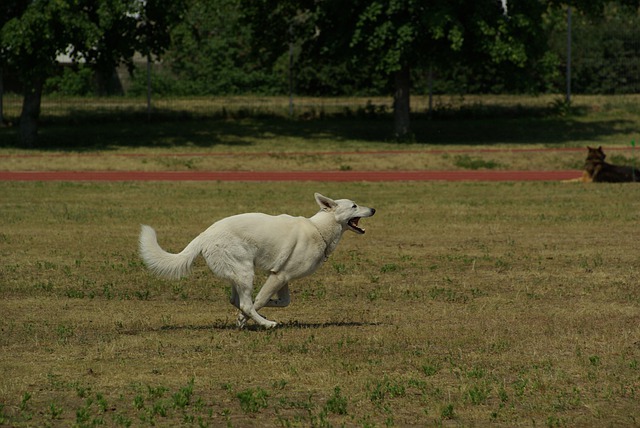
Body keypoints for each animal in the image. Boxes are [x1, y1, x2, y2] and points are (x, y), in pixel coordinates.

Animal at [138, 192, 372, 330]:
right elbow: (257, 301)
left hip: (239, 274)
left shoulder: (281, 277)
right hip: (245, 272)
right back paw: (267, 324)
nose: (374, 209)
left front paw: (265, 307)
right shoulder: (279, 276)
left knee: (237, 300)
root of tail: (205, 234)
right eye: (354, 206)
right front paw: (245, 318)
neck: (319, 230)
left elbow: (281, 301)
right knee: (245, 303)